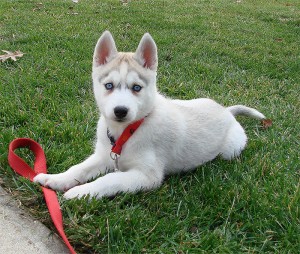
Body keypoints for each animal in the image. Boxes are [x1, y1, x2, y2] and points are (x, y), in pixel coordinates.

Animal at [33, 31, 268, 198]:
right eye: (109, 85)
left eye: (136, 88)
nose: (120, 110)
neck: (126, 132)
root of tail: (226, 111)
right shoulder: (102, 156)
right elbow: (79, 168)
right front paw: (56, 179)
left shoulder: (147, 176)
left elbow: (108, 180)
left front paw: (81, 192)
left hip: (230, 150)